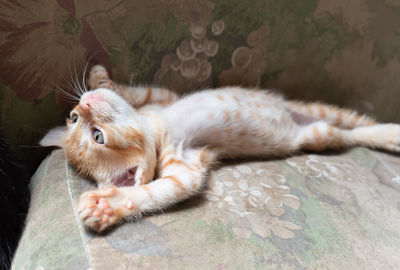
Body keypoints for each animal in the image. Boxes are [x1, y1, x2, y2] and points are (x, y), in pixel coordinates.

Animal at [39, 64, 400, 231]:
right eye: (96, 136)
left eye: (77, 120)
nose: (84, 103)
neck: (158, 125)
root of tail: (296, 117)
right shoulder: (185, 164)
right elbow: (166, 189)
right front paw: (109, 205)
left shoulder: (164, 98)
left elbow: (138, 92)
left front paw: (101, 78)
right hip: (319, 133)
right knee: (350, 135)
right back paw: (389, 135)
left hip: (317, 110)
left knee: (355, 121)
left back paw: (390, 131)